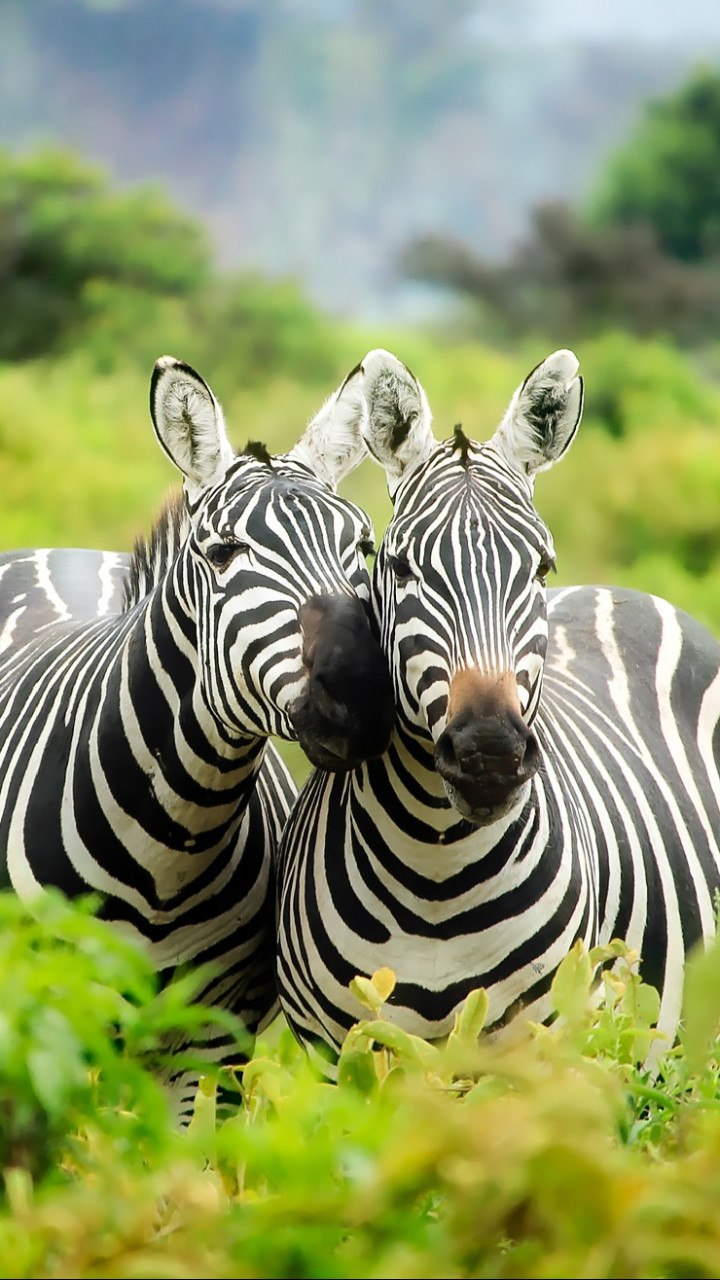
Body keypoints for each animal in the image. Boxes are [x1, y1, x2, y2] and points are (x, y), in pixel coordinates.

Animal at [0, 354, 395, 1112]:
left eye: (363, 547)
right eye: (223, 552)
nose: (361, 698)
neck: (170, 840)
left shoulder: (212, 1041)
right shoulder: (44, 1020)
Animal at [276, 347, 720, 1074]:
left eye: (540, 569)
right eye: (400, 566)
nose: (489, 755)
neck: (435, 873)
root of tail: (621, 591)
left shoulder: (542, 1056)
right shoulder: (340, 1057)